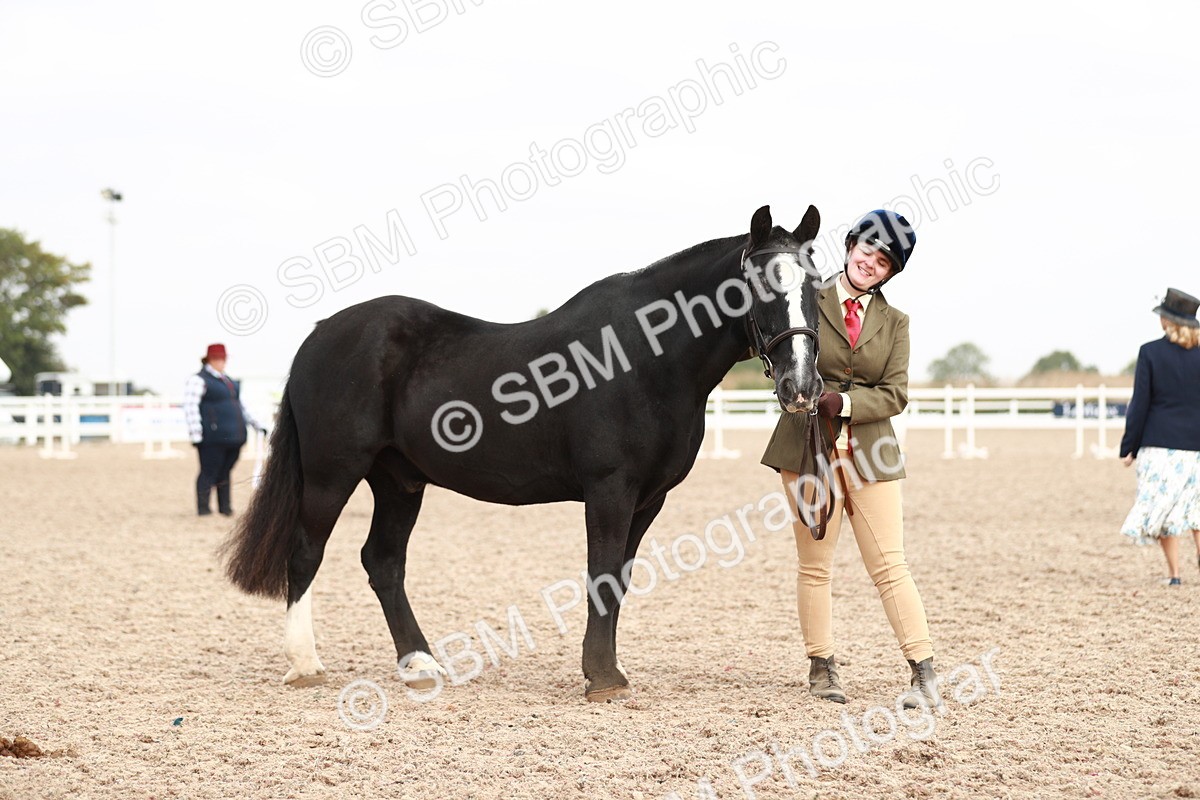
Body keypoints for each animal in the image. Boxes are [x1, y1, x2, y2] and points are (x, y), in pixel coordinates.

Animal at [221, 204, 824, 702]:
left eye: (816, 285)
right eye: (759, 286)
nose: (801, 385)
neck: (643, 356)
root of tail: (321, 333)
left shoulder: (648, 498)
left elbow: (620, 577)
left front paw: (606, 669)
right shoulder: (610, 487)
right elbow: (601, 571)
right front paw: (602, 677)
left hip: (399, 481)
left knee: (383, 561)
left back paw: (420, 664)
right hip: (332, 473)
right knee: (306, 552)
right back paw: (306, 664)